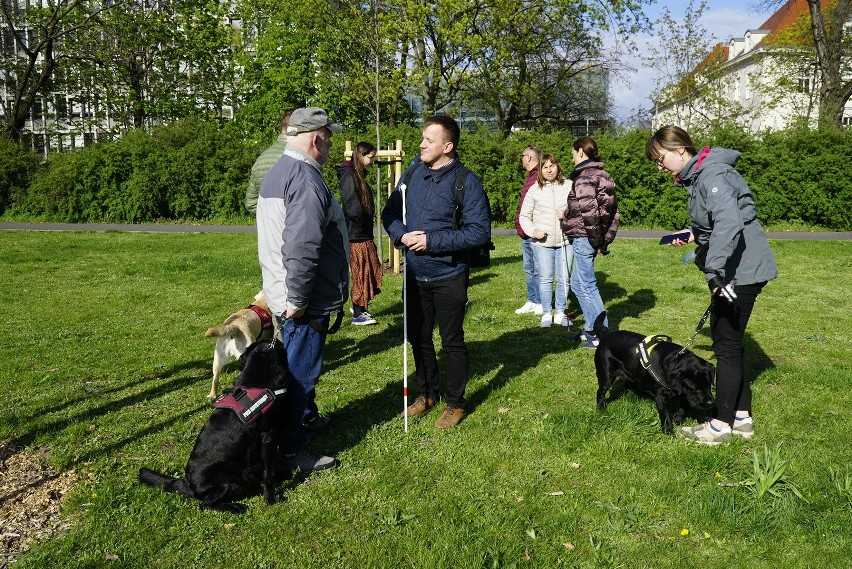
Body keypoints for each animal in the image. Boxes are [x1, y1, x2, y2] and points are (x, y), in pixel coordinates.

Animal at [137, 340, 290, 512]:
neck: (259, 367)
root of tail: (186, 484)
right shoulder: (270, 435)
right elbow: (268, 472)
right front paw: (271, 498)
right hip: (237, 479)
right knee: (204, 504)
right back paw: (235, 507)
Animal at [592, 312, 720, 432]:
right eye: (695, 389)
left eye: (709, 386)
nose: (711, 403)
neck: (673, 363)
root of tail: (608, 333)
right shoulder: (661, 398)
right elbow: (666, 417)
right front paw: (668, 431)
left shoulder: (684, 393)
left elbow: (684, 408)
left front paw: (678, 420)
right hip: (606, 375)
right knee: (600, 392)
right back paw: (600, 409)